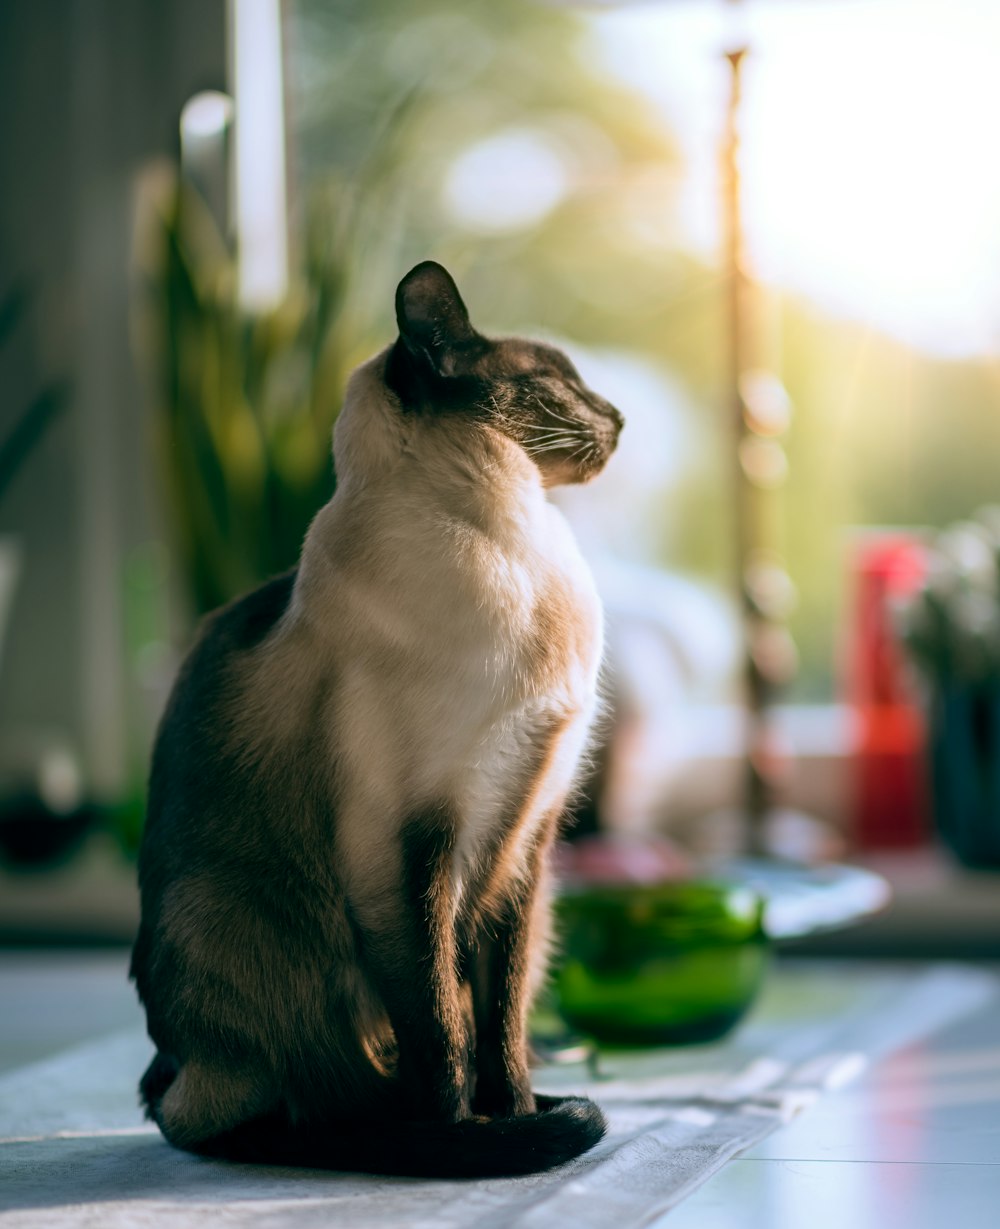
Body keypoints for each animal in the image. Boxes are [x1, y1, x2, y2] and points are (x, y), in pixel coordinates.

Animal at [128, 261, 621, 1179]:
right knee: (238, 1114)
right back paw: (378, 1139)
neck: (521, 544)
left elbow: (498, 1024)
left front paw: (516, 1117)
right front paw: (469, 1142)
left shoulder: (525, 840)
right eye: (561, 383)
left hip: (538, 914)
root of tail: (170, 1060)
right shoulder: (410, 839)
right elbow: (443, 1026)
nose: (618, 417)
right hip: (222, 911)